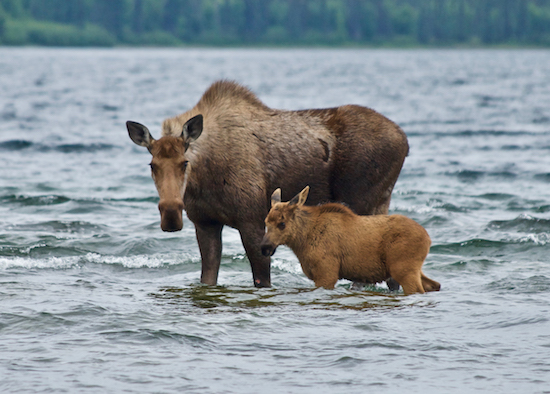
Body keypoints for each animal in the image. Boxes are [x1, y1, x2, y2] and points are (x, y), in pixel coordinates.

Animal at [126, 81, 410, 290]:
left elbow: (262, 280)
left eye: (185, 162)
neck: (204, 179)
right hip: (381, 201)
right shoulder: (205, 223)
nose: (171, 213)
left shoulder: (252, 220)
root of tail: (405, 141)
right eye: (152, 165)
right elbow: (208, 279)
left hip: (363, 202)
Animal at [260, 186, 442, 294]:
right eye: (266, 221)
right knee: (434, 285)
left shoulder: (327, 273)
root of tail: (428, 239)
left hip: (403, 269)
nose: (264, 247)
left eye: (282, 223)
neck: (302, 241)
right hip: (413, 269)